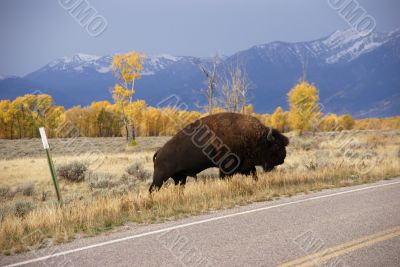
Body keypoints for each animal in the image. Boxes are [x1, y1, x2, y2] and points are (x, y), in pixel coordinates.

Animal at [148, 112, 290, 193]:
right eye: (276, 145)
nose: (283, 157)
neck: (252, 136)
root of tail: (159, 152)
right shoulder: (227, 167)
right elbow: (225, 177)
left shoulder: (246, 165)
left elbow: (254, 175)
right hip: (160, 177)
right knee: (152, 189)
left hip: (181, 178)